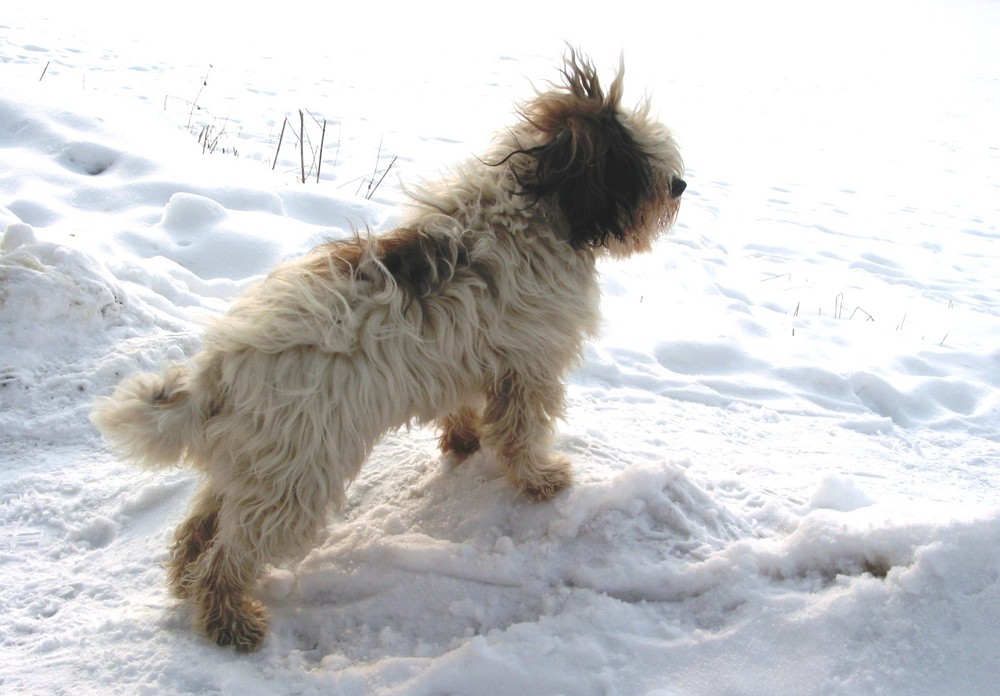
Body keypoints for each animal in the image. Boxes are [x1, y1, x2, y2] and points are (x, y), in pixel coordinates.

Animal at [92, 50, 688, 652]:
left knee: (202, 523)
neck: (534, 206)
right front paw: (540, 481)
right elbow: (520, 432)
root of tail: (219, 371)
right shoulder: (529, 365)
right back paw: (229, 621)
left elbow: (467, 408)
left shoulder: (476, 358)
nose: (681, 184)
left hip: (260, 458)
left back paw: (185, 580)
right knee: (232, 552)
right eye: (638, 159)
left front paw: (464, 440)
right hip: (299, 471)